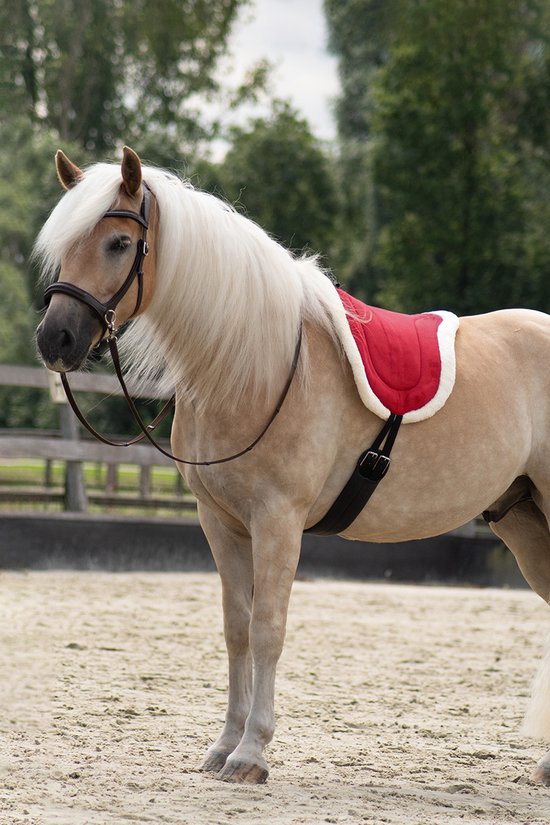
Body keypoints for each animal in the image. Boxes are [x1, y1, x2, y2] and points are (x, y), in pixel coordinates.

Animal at [35, 146, 550, 785]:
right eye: (64, 243)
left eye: (119, 244)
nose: (55, 339)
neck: (256, 362)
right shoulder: (221, 522)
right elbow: (236, 628)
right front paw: (223, 745)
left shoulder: (277, 522)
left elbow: (268, 630)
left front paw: (251, 754)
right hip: (524, 521)